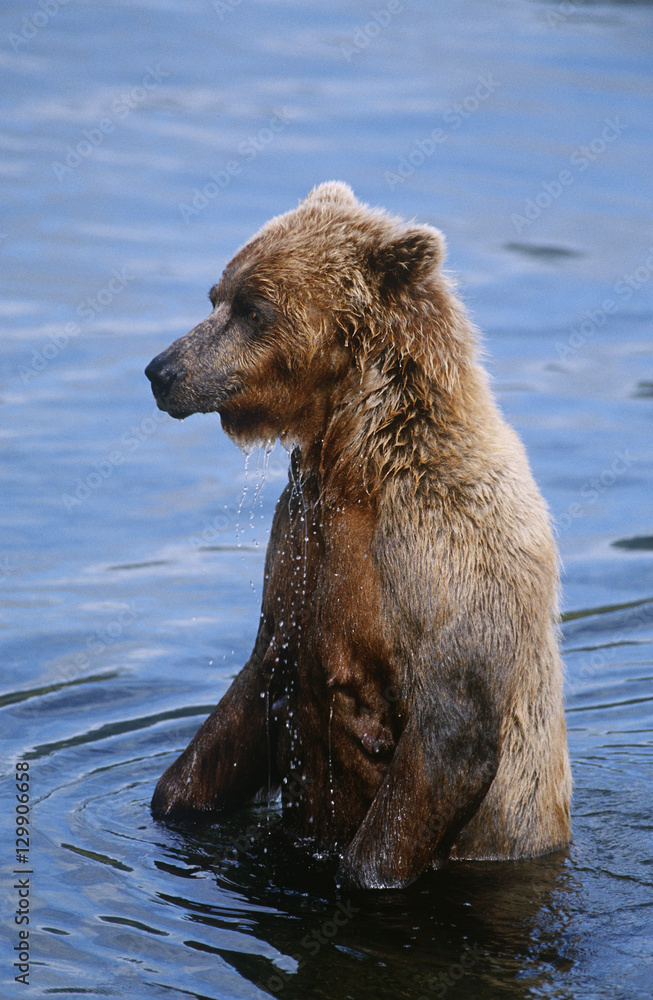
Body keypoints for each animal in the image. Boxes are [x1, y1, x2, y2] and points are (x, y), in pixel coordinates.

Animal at [145, 181, 571, 889]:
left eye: (254, 307)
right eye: (216, 295)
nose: (162, 370)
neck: (352, 464)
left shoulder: (441, 551)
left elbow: (448, 733)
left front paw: (364, 873)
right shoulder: (297, 543)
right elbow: (253, 688)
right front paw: (177, 796)